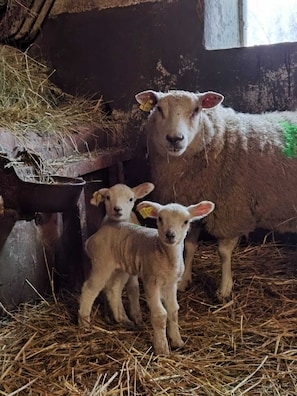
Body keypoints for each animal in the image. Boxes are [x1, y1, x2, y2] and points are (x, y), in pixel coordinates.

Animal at [77, 200, 214, 354]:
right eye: (160, 219)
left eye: (186, 221)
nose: (170, 235)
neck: (164, 253)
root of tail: (94, 237)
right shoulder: (151, 281)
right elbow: (160, 315)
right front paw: (162, 349)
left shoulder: (171, 284)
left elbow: (173, 310)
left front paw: (177, 342)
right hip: (102, 262)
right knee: (89, 289)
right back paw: (84, 323)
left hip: (120, 267)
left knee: (113, 289)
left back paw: (124, 320)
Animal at [87, 181, 153, 326]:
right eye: (107, 197)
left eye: (131, 199)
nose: (117, 209)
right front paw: (110, 314)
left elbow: (133, 289)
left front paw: (136, 315)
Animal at [136, 89, 297, 300]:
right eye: (159, 108)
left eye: (197, 109)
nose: (174, 139)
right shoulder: (190, 206)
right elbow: (189, 246)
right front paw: (184, 280)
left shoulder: (231, 212)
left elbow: (223, 252)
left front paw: (224, 289)